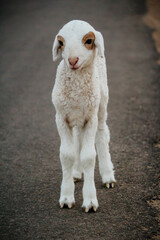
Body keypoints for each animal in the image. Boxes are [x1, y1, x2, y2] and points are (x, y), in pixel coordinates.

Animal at [52, 20, 115, 212]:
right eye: (61, 43)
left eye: (88, 41)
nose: (72, 61)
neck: (77, 92)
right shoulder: (61, 117)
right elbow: (67, 154)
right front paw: (66, 197)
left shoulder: (90, 118)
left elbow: (88, 156)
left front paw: (90, 200)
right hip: (77, 118)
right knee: (77, 140)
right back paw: (75, 173)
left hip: (100, 107)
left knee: (102, 134)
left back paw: (108, 175)